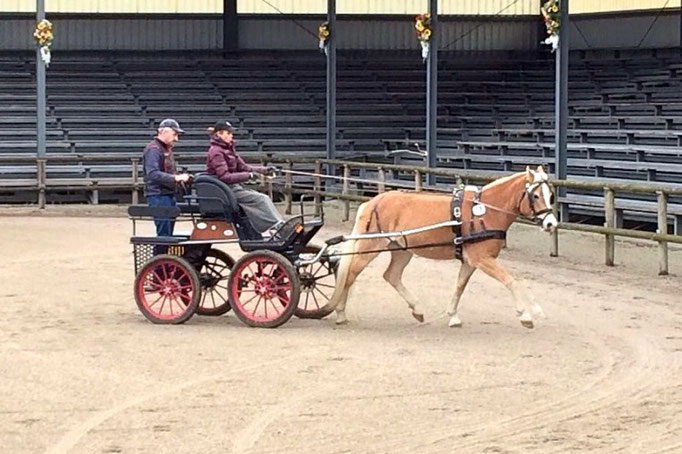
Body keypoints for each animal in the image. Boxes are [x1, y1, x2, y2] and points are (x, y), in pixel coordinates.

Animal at [322, 165, 556, 328]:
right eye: (536, 195)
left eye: (551, 195)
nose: (551, 223)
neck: (485, 212)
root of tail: (373, 202)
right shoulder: (483, 259)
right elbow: (512, 281)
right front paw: (527, 314)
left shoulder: (471, 261)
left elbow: (460, 286)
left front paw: (453, 316)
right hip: (371, 245)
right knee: (351, 274)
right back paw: (340, 313)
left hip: (402, 250)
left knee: (391, 275)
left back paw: (417, 310)